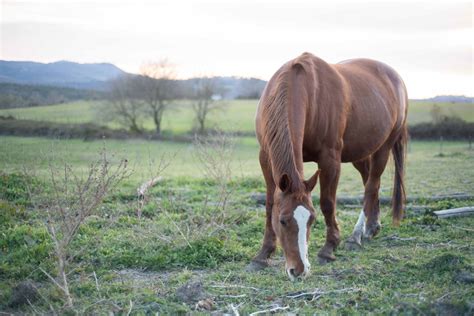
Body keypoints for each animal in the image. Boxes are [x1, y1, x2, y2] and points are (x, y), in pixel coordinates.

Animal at [252, 53, 408, 280]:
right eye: (282, 221)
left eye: (311, 219)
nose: (299, 270)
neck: (304, 88)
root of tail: (397, 79)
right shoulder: (265, 157)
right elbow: (270, 204)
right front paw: (263, 254)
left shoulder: (330, 159)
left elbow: (327, 202)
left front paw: (329, 248)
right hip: (359, 153)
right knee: (371, 182)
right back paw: (372, 227)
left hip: (384, 147)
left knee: (371, 187)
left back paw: (355, 236)